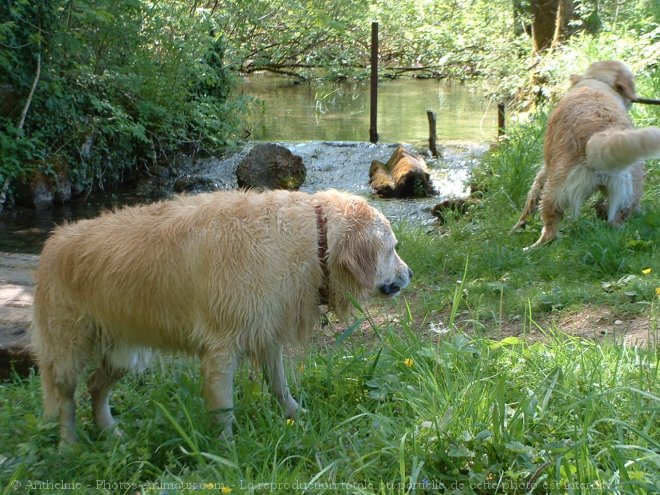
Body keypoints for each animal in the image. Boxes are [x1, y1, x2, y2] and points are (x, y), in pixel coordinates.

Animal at [510, 61, 660, 248]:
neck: (596, 83)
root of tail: (599, 138)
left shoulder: (546, 168)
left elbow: (531, 198)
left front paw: (517, 227)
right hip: (627, 194)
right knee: (617, 222)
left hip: (555, 190)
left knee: (550, 230)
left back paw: (532, 248)